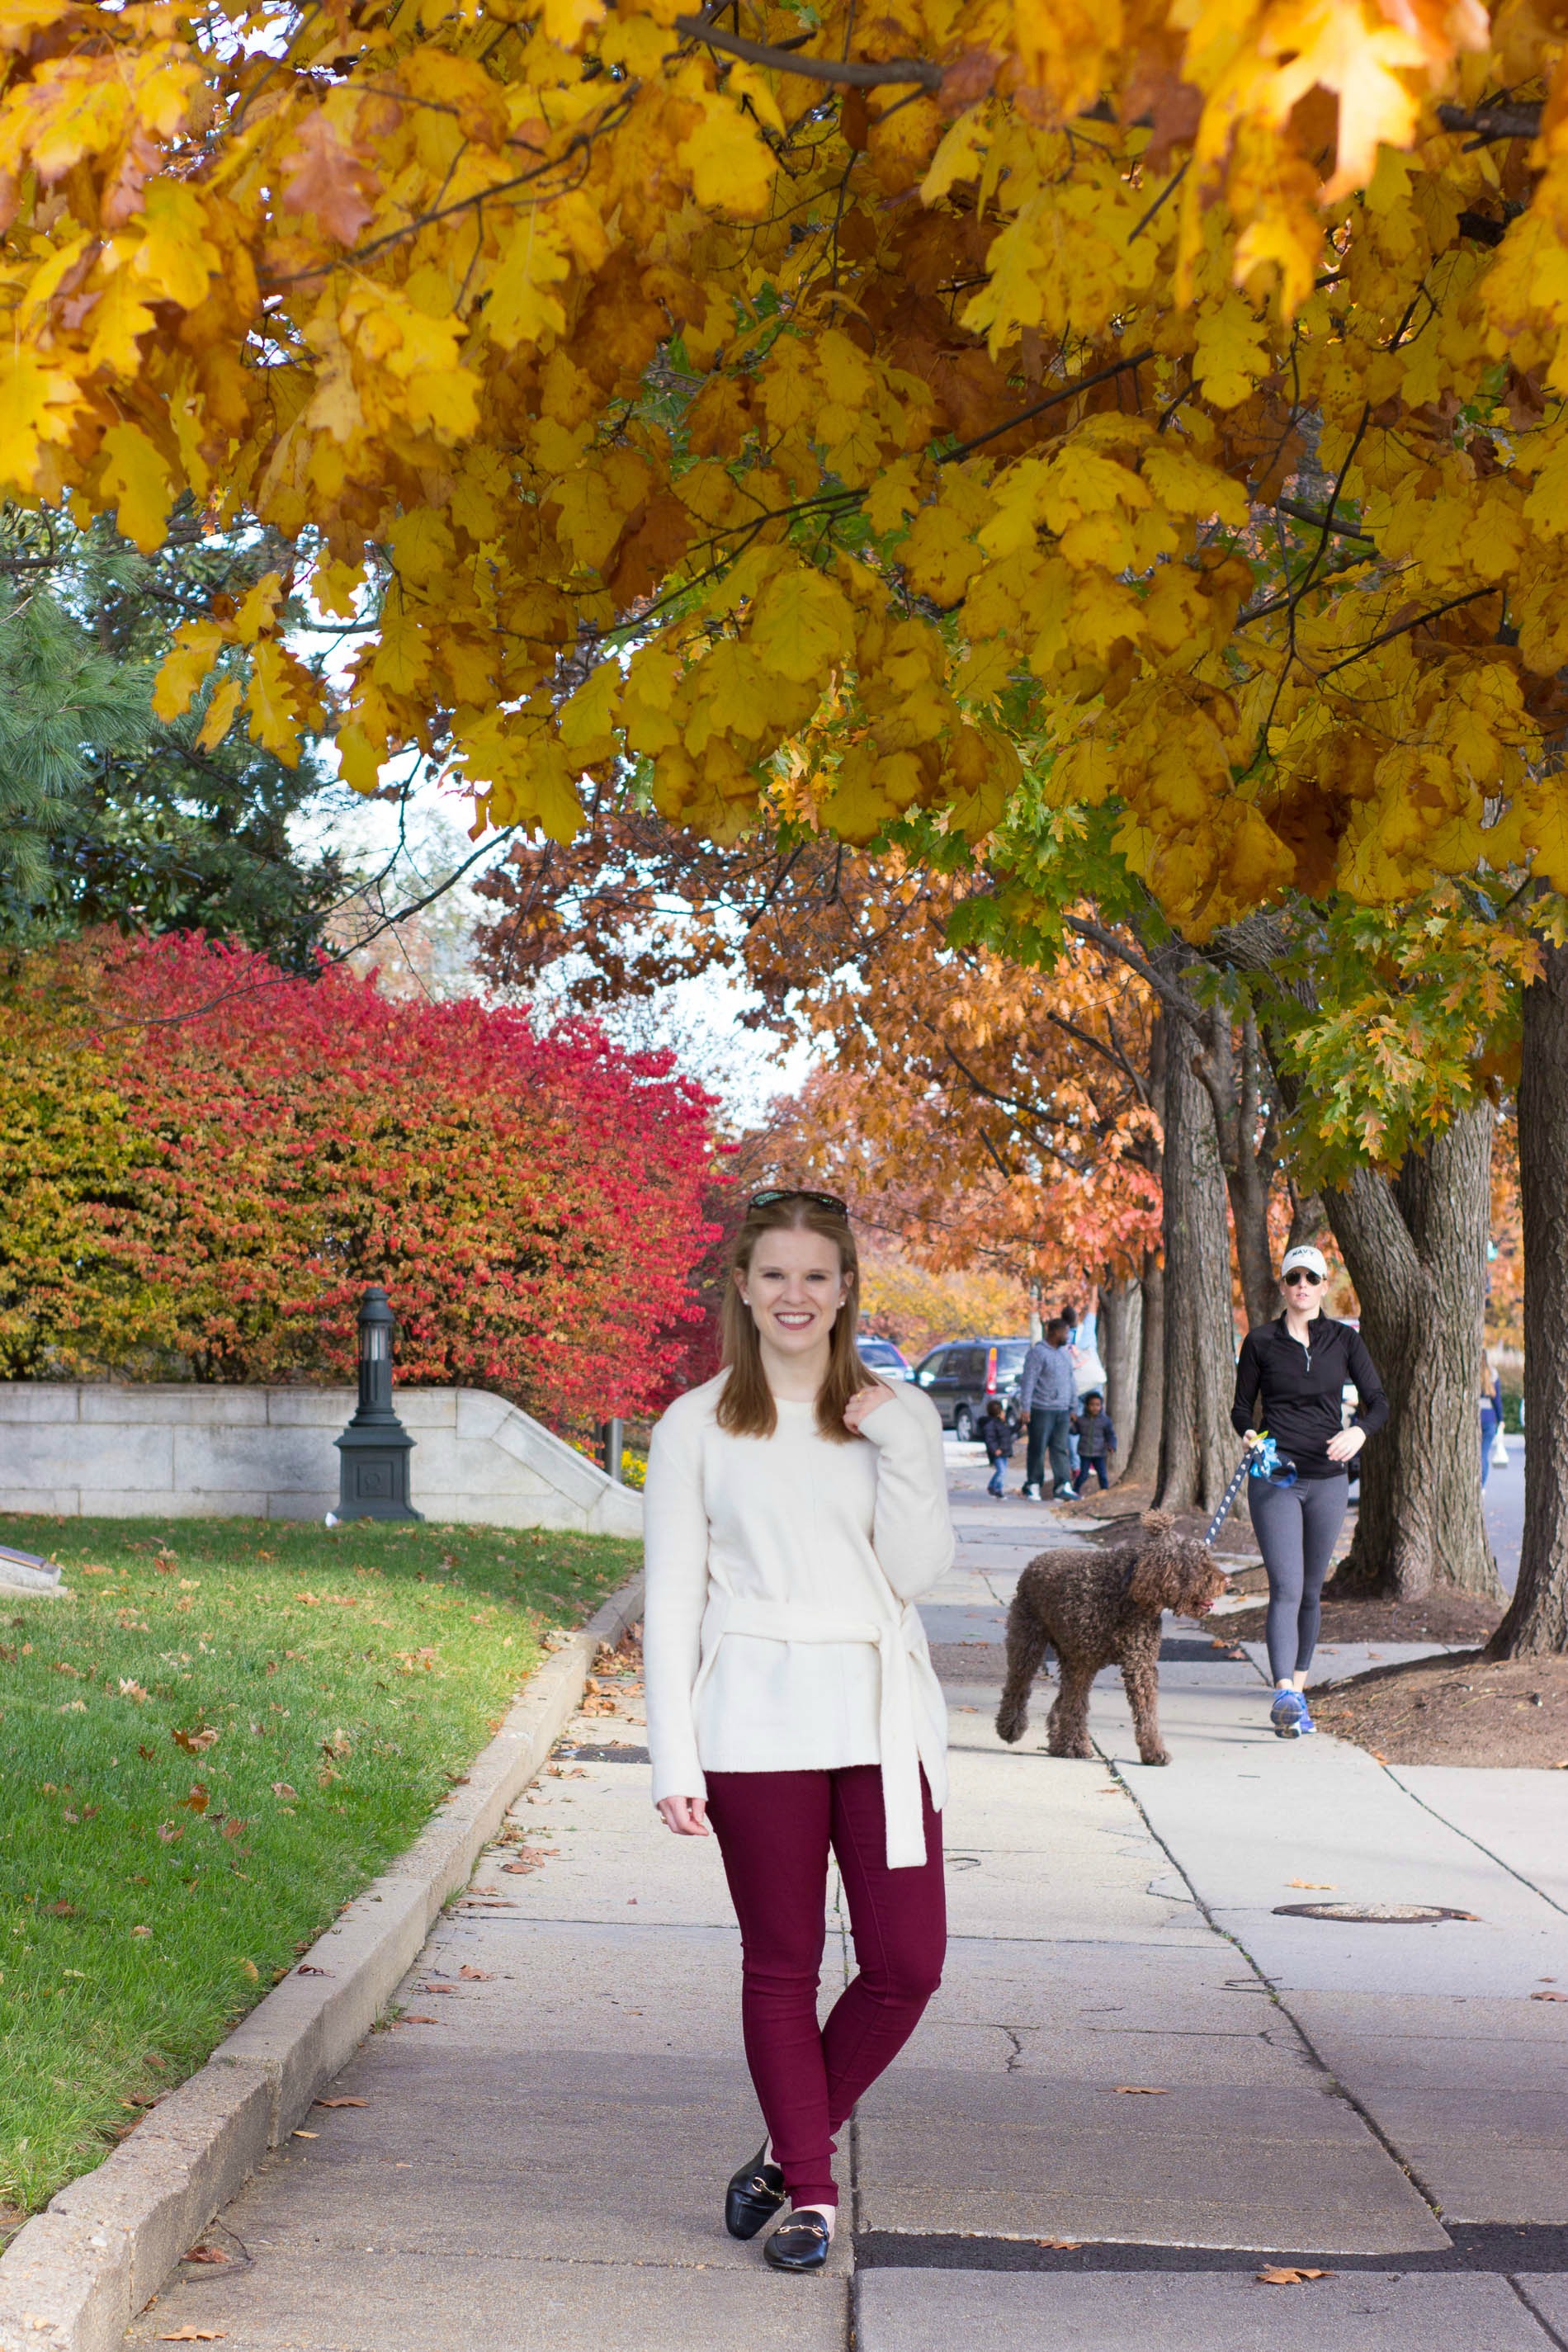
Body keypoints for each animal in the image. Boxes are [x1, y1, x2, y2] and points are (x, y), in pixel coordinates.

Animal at [1001, 1505, 1231, 1769]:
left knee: (1060, 1697)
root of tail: (1035, 1562)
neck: (1127, 1592)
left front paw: (1154, 1752)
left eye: (1208, 1558)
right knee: (1018, 1685)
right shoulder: (1083, 1663)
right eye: (1198, 1564)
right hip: (1027, 1642)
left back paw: (1056, 1739)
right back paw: (1010, 1728)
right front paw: (1075, 1745)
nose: (1227, 1580)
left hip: (1065, 1654)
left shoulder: (1139, 1664)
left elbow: (1146, 1712)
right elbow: (1076, 1704)